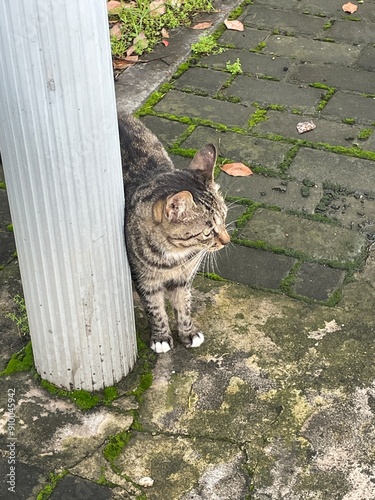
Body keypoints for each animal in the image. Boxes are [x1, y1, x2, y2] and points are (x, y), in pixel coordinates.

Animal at [119, 114, 229, 354]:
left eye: (225, 217)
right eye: (208, 231)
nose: (227, 241)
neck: (174, 257)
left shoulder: (184, 279)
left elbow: (184, 305)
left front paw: (187, 332)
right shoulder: (145, 281)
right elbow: (155, 310)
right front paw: (161, 337)